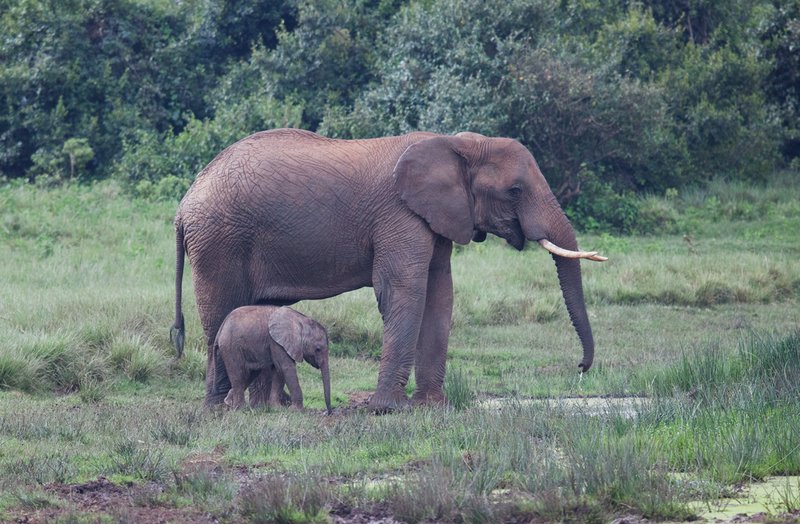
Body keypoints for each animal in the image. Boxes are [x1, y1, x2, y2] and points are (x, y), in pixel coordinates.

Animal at [170, 128, 606, 412]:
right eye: (514, 191)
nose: (581, 368)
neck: (455, 143)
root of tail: (184, 204)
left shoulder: (436, 217)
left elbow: (440, 294)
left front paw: (431, 406)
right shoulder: (400, 214)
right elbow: (403, 290)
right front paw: (388, 409)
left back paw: (263, 410)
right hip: (219, 242)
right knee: (220, 314)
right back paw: (222, 408)